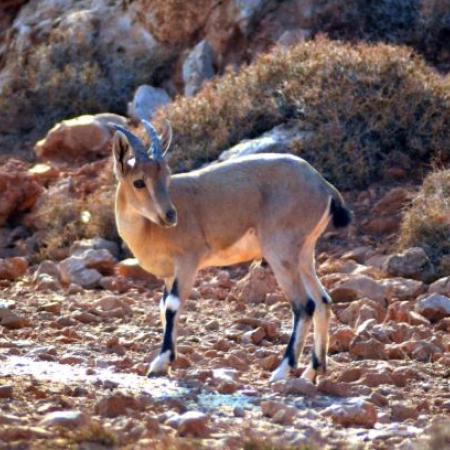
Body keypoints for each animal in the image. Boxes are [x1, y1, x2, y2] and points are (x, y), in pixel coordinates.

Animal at [111, 120, 352, 384]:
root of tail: (323, 185)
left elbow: (172, 306)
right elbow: (164, 307)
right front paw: (167, 363)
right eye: (139, 181)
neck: (148, 229)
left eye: (166, 175)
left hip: (280, 251)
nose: (170, 216)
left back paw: (281, 371)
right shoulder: (169, 274)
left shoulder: (187, 261)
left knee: (304, 305)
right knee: (322, 301)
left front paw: (160, 363)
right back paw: (312, 371)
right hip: (304, 254)